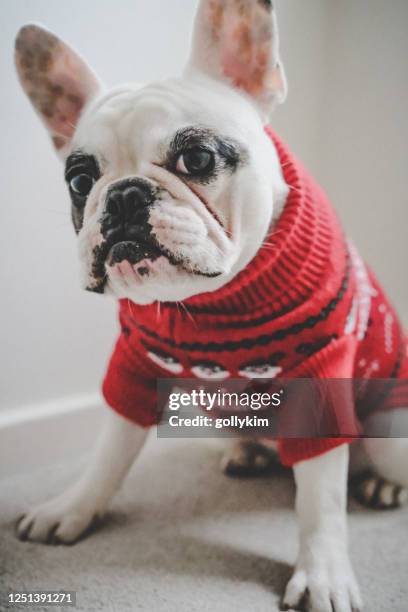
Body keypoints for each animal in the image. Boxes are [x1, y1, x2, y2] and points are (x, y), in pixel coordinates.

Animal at [13, 2, 408, 608]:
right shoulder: (134, 365)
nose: (124, 194)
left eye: (196, 158)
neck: (210, 300)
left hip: (392, 428)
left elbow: (320, 501)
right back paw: (250, 452)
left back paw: (381, 483)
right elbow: (110, 452)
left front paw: (322, 574)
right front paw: (74, 509)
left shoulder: (319, 380)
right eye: (80, 180)